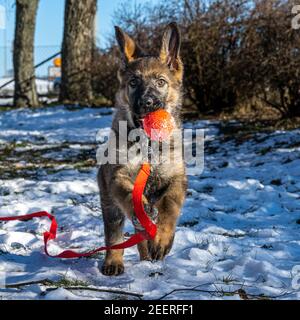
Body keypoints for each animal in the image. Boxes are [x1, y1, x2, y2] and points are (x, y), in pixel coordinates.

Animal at [98, 22, 186, 276]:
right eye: (134, 83)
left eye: (161, 82)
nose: (147, 103)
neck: (148, 145)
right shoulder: (117, 176)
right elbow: (130, 197)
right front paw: (143, 213)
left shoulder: (176, 178)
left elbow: (170, 206)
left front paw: (163, 239)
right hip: (109, 204)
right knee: (115, 234)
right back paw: (113, 262)